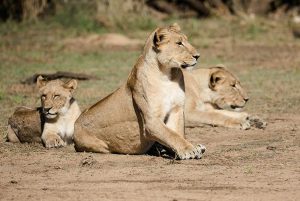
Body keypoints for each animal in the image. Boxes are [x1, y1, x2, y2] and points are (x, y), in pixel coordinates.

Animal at [74, 23, 206, 159]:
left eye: (186, 41)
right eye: (179, 43)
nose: (198, 56)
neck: (166, 74)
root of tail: (75, 125)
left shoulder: (176, 109)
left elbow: (177, 133)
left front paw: (189, 148)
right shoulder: (151, 120)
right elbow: (171, 135)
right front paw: (189, 150)